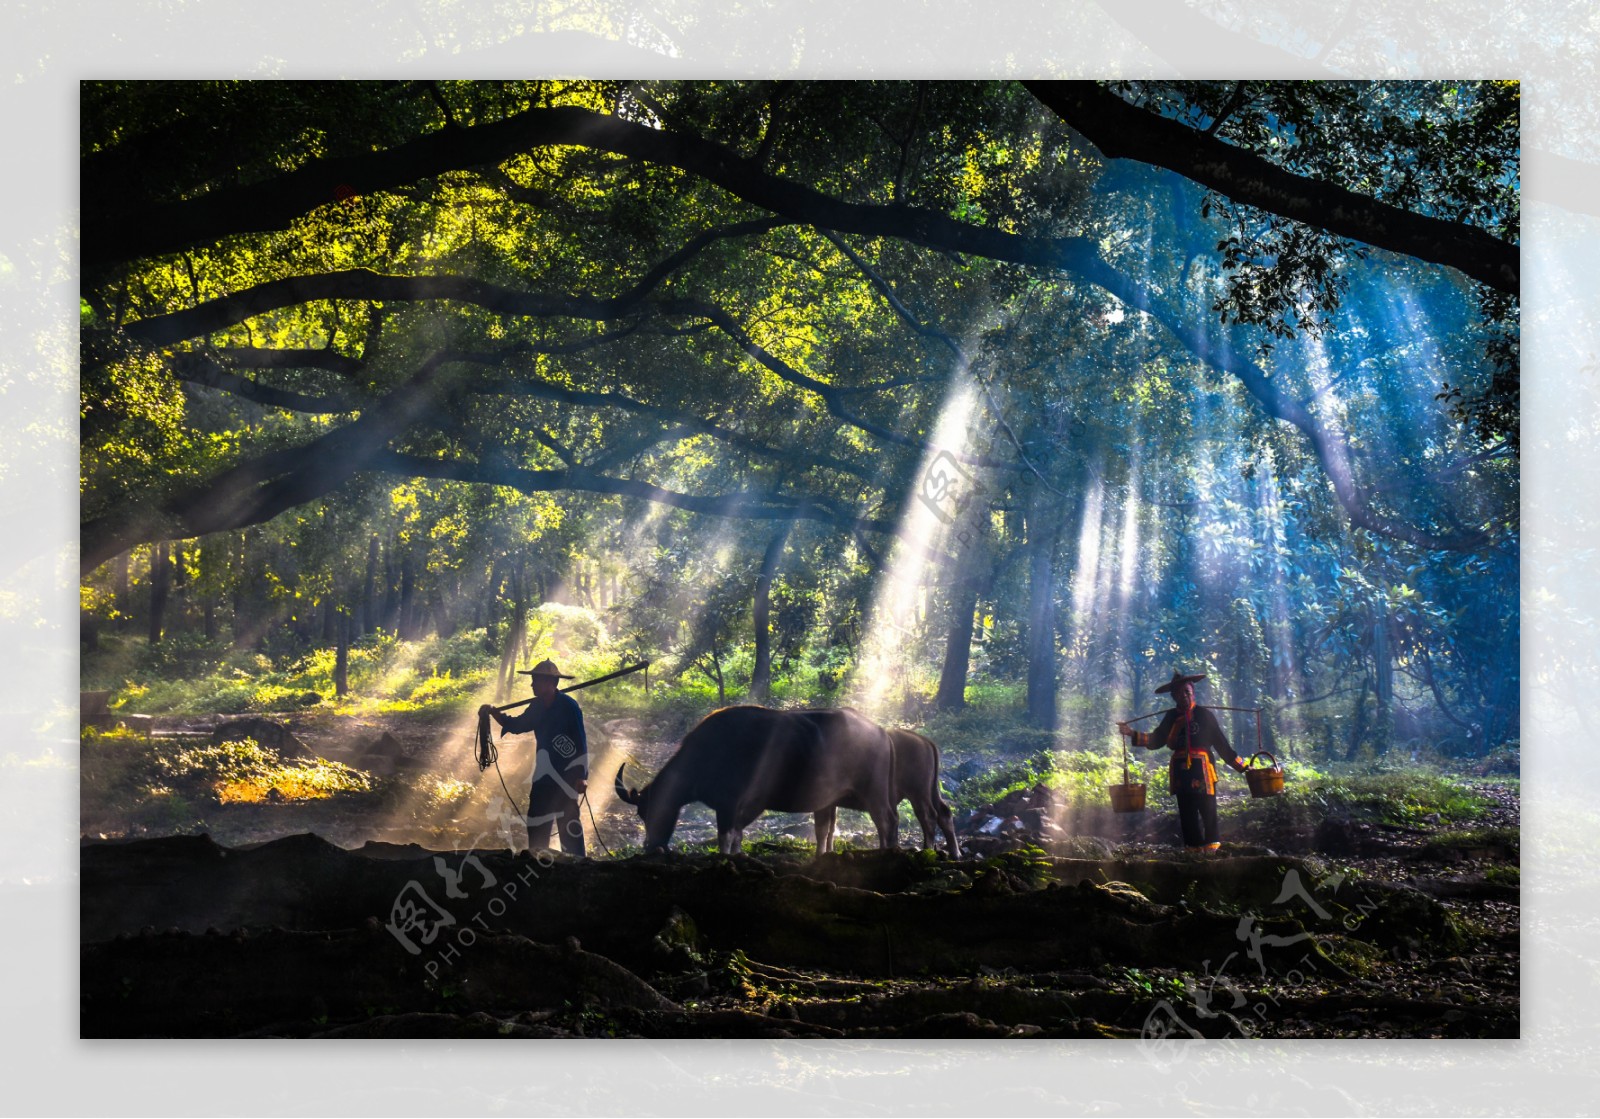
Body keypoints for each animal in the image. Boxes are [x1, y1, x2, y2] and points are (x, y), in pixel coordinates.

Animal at [611, 707, 902, 858]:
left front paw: (724, 859)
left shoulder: (728, 804)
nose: (652, 846)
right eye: (641, 814)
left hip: (874, 793)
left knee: (886, 820)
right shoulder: (746, 807)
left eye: (650, 810)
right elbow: (738, 835)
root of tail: (881, 732)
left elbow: (725, 836)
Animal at [812, 726, 960, 858]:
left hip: (918, 793)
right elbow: (831, 827)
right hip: (931, 791)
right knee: (944, 813)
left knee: (926, 816)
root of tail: (925, 741)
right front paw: (829, 851)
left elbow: (823, 828)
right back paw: (955, 853)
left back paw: (926, 849)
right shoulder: (832, 804)